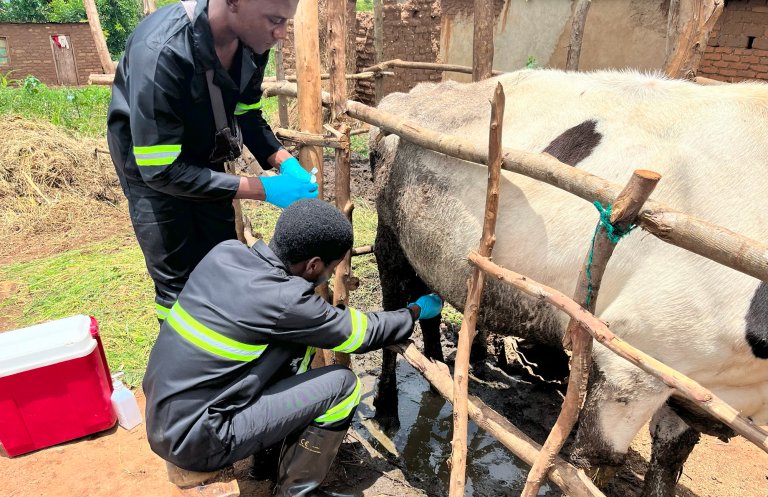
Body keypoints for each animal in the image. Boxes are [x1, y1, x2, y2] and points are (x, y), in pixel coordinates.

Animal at [368, 70, 768, 496]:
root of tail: (415, 92)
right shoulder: (632, 363)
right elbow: (592, 464)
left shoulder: (690, 388)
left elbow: (668, 461)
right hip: (389, 235)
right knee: (394, 316)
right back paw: (387, 409)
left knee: (430, 303)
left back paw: (436, 373)